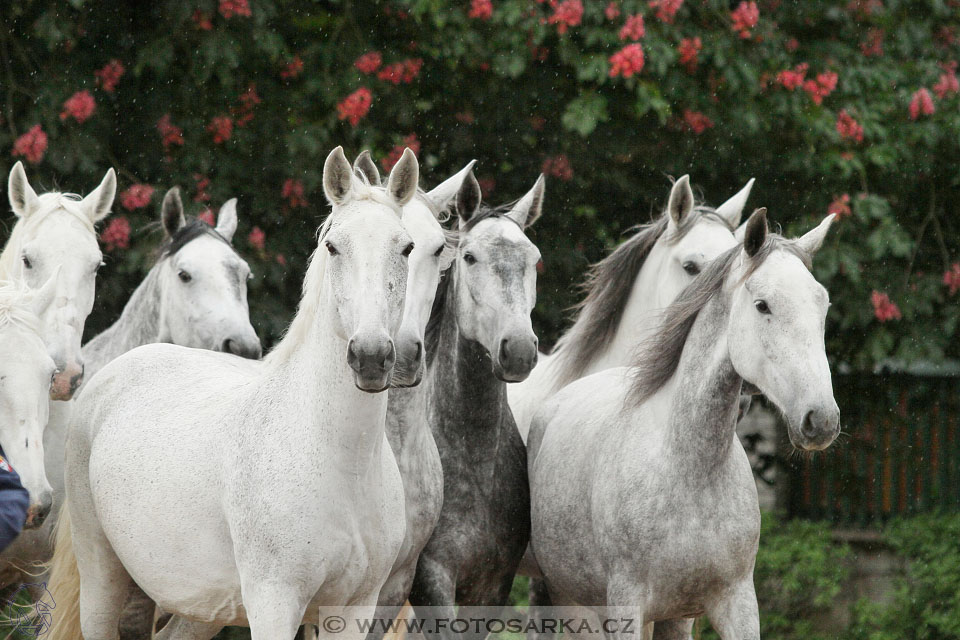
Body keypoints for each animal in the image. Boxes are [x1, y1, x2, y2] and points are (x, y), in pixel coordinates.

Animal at [47, 146, 418, 640]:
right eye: (333, 246)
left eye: (406, 247)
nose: (371, 356)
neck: (341, 461)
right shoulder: (274, 603)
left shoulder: (355, 607)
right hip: (103, 579)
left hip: (193, 604)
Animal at [524, 209, 840, 636]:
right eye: (763, 305)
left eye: (822, 305)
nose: (821, 419)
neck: (687, 466)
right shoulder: (627, 606)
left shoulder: (734, 604)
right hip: (572, 603)